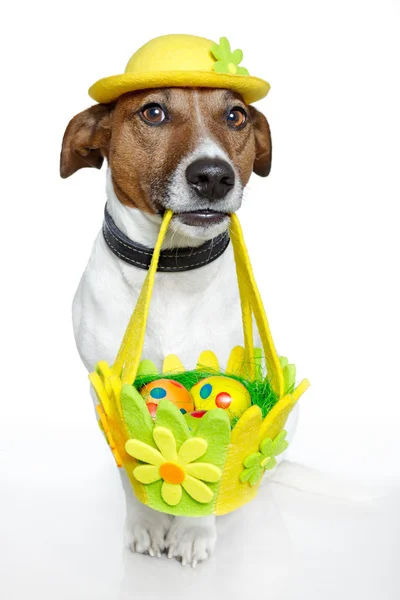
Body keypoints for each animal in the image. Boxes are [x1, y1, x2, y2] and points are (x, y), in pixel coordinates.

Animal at [59, 86, 296, 564]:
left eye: (236, 116)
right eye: (153, 112)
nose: (214, 176)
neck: (170, 268)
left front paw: (192, 531)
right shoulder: (104, 392)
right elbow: (129, 466)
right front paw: (146, 524)